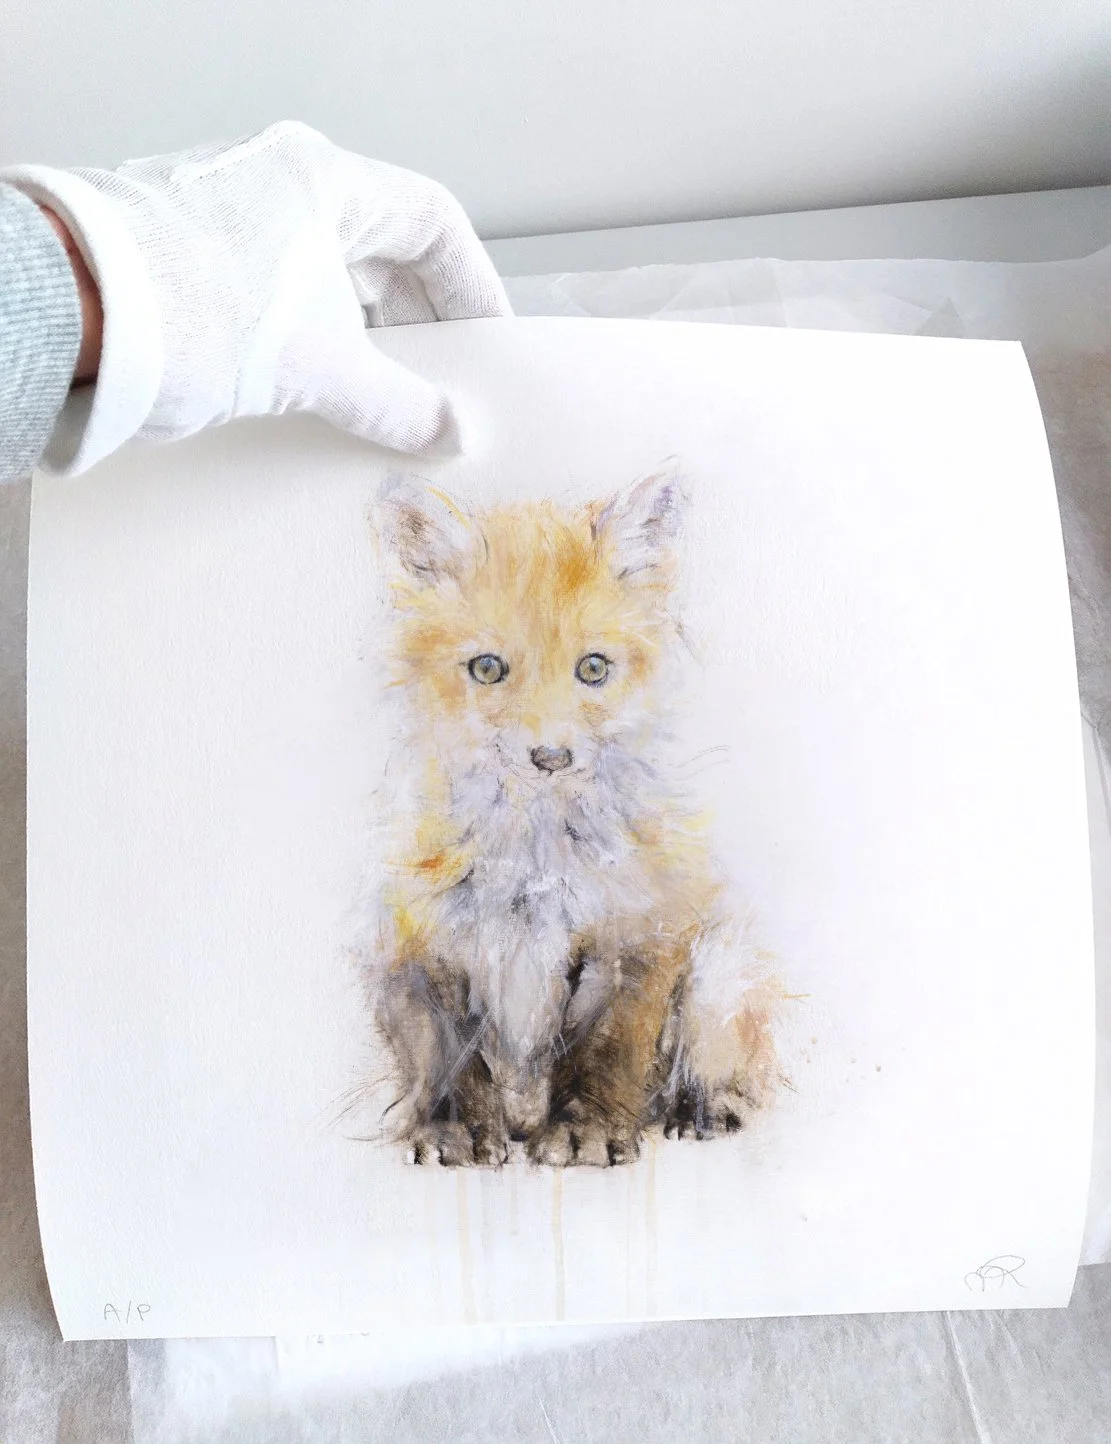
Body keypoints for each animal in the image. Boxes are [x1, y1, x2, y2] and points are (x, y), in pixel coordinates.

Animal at [367, 468, 784, 1167]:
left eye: (593, 668)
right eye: (488, 668)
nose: (551, 757)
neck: (534, 872)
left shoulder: (640, 937)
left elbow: (608, 1048)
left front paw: (585, 1128)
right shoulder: (418, 947)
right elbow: (445, 1052)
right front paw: (452, 1128)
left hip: (719, 969)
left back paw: (701, 1109)